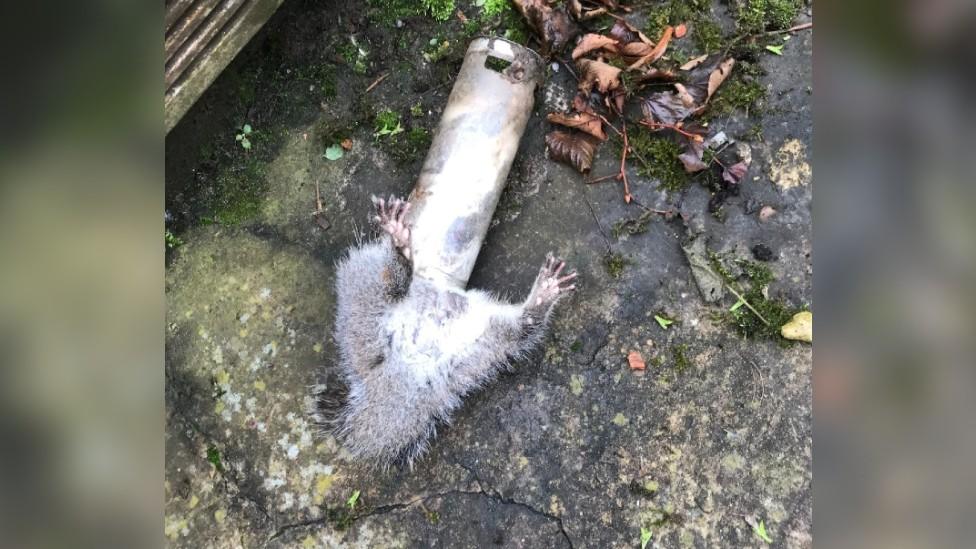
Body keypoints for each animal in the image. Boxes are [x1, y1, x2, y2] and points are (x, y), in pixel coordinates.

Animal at [312, 195, 576, 464]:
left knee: (523, 328)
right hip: (366, 306)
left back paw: (541, 297)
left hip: (483, 343)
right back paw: (399, 248)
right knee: (389, 281)